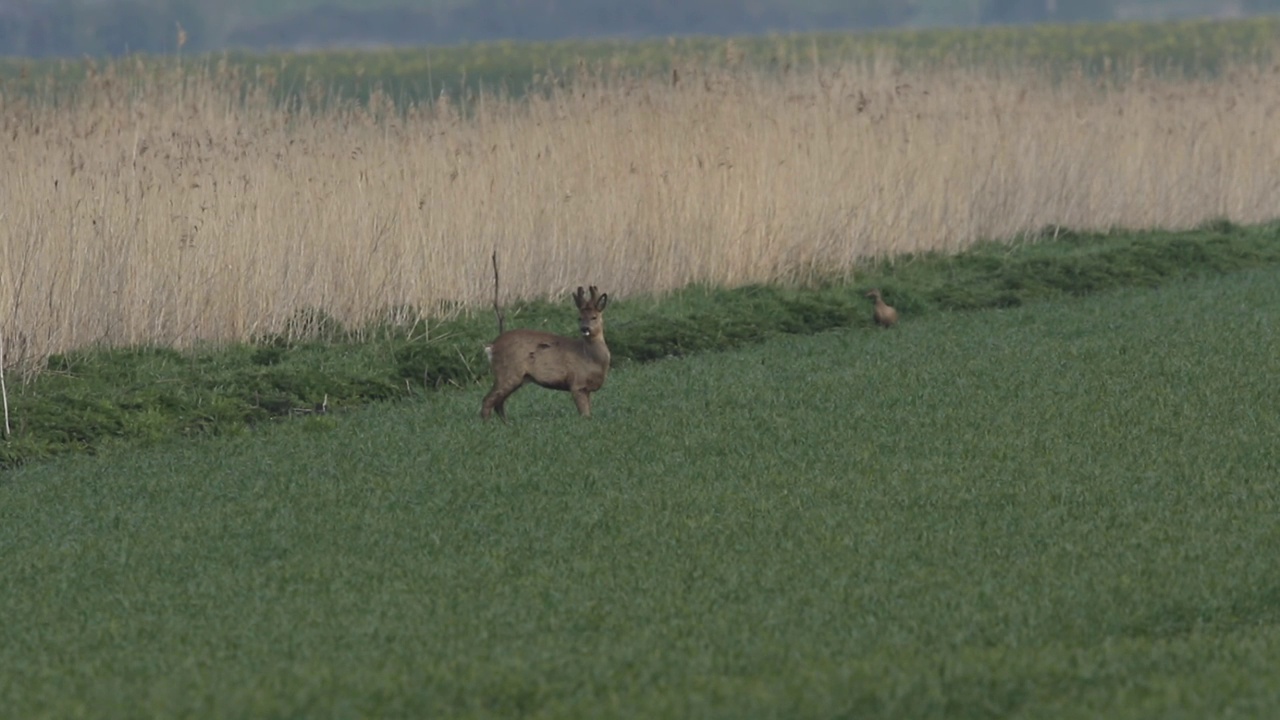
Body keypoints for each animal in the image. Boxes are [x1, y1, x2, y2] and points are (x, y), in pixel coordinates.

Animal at [483, 285, 614, 417]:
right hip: (507, 372)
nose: (584, 328)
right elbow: (585, 415)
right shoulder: (577, 384)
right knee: (488, 400)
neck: (590, 358)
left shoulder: (587, 389)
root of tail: (492, 346)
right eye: (579, 318)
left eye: (594, 317)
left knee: (498, 403)